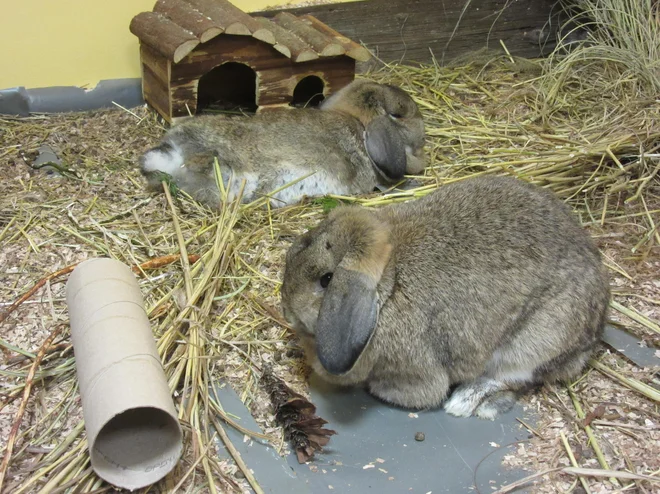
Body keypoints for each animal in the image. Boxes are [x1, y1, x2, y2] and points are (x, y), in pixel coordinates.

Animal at [278, 176, 608, 418]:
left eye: (327, 279)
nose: (286, 309)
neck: (389, 284)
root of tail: (594, 333)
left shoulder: (414, 372)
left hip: (533, 343)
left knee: (516, 377)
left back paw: (469, 401)